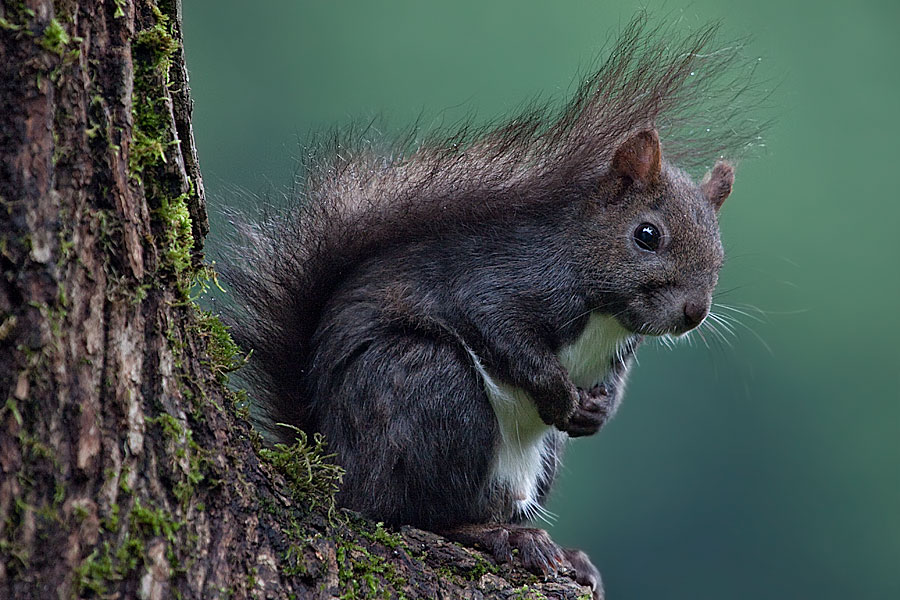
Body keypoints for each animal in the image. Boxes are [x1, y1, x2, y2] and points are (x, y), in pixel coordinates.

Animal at [221, 15, 764, 600]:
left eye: (720, 252)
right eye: (647, 235)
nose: (694, 312)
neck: (603, 311)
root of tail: (332, 462)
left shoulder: (622, 345)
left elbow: (615, 380)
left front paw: (597, 411)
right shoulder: (499, 285)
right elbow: (504, 335)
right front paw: (559, 395)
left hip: (536, 458)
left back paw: (559, 550)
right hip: (430, 386)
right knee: (406, 511)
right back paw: (496, 534)